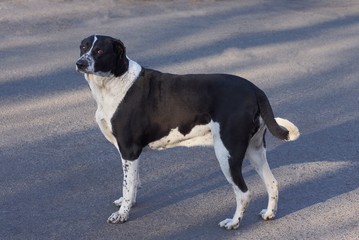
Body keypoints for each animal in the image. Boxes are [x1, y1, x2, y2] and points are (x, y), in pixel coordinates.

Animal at [74, 34, 300, 230]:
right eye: (83, 47)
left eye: (100, 50)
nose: (80, 63)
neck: (114, 81)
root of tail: (255, 90)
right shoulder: (132, 154)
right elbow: (132, 183)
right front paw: (127, 204)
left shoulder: (128, 150)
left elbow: (127, 185)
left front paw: (122, 214)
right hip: (255, 151)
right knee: (272, 182)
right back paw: (269, 213)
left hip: (227, 154)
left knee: (244, 193)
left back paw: (233, 223)